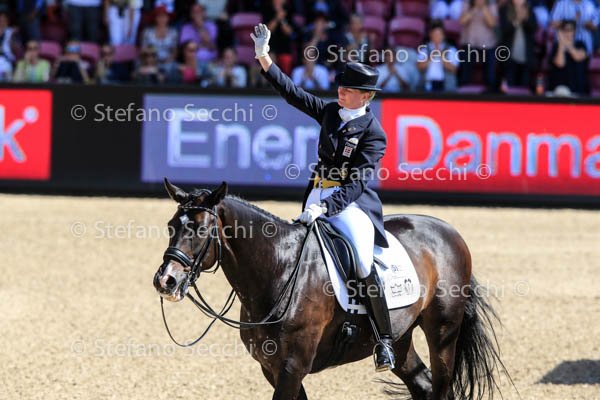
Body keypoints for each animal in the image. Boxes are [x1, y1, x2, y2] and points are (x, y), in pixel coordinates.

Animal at [153, 178, 509, 400]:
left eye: (200, 229)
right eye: (171, 226)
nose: (165, 280)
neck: (281, 269)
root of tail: (449, 231)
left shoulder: (293, 365)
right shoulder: (272, 367)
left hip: (443, 332)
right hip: (401, 337)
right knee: (421, 384)